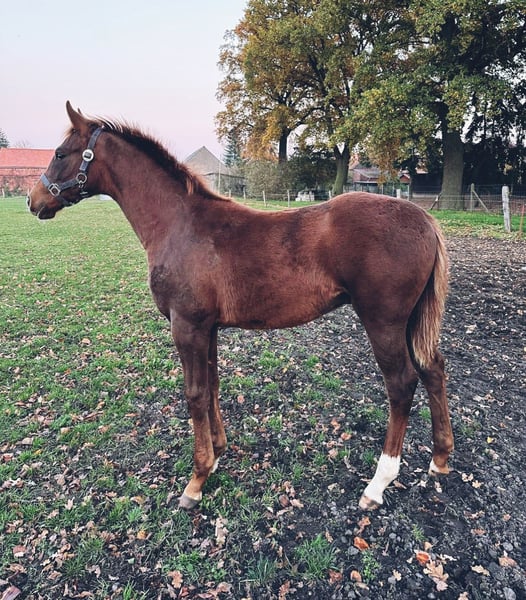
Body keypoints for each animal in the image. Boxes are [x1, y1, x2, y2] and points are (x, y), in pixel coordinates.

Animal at [28, 102, 454, 511]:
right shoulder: (208, 327)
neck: (180, 225)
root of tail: (426, 219)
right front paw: (217, 452)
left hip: (383, 322)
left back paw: (377, 485)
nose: (34, 200)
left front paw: (197, 480)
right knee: (433, 369)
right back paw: (439, 460)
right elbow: (213, 385)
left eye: (61, 153)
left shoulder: (186, 326)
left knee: (401, 384)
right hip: (411, 322)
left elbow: (195, 393)